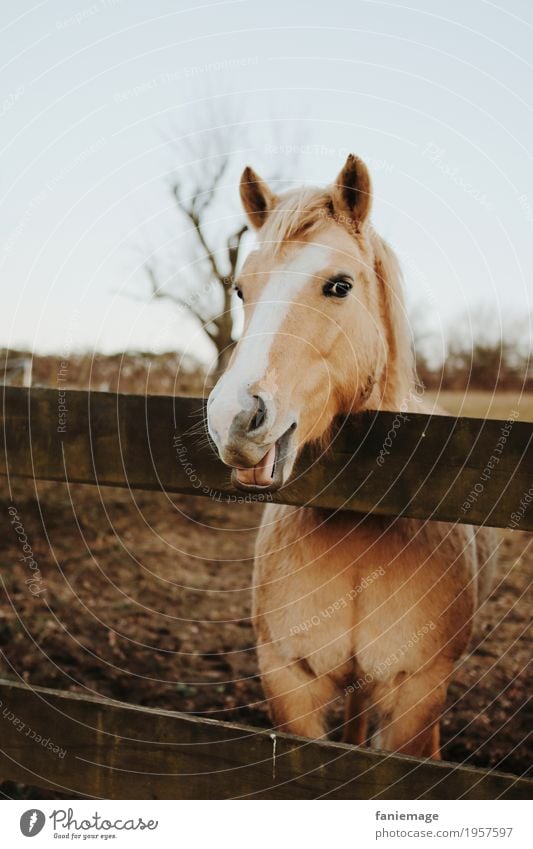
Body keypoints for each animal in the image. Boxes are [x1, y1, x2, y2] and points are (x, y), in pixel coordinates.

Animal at [205, 152, 494, 756]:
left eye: (339, 285)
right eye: (241, 290)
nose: (234, 418)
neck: (363, 519)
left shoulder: (417, 691)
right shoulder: (288, 678)